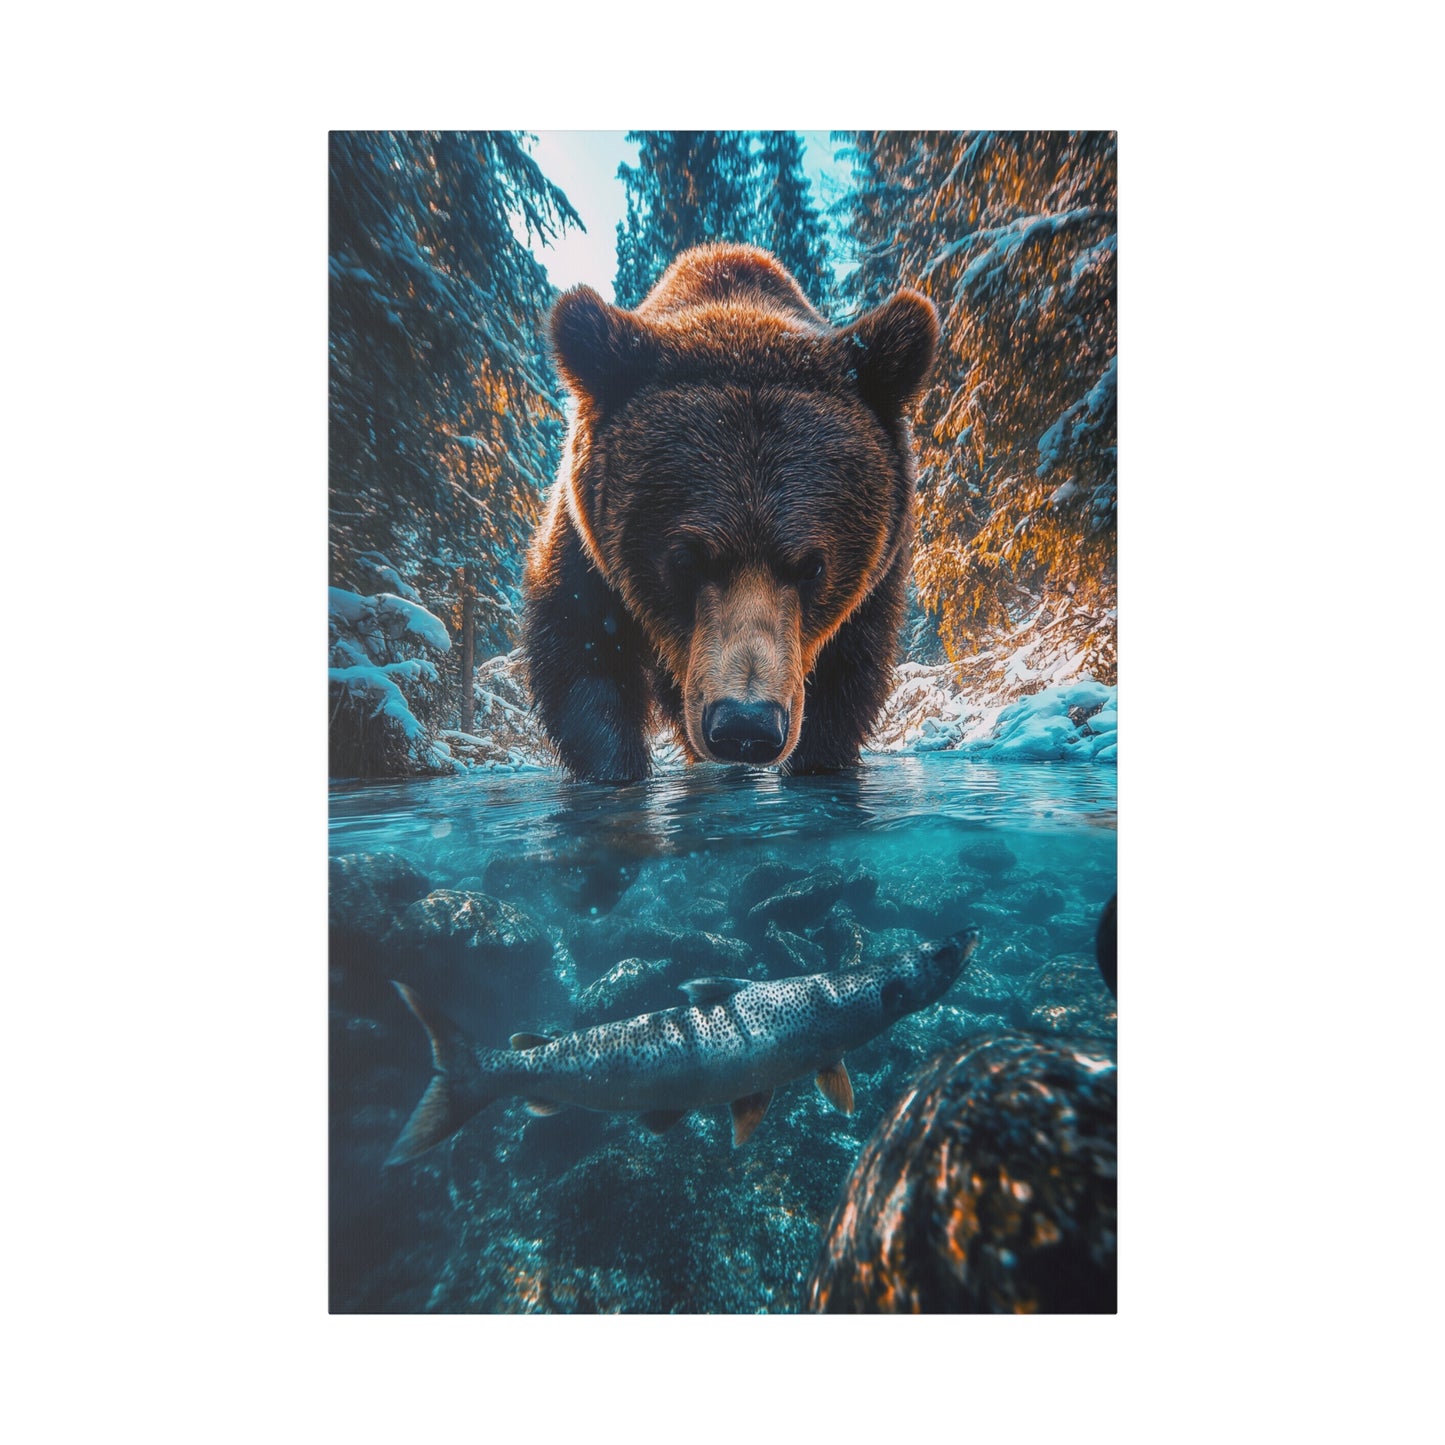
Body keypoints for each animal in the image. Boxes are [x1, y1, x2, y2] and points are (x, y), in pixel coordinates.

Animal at [521, 243, 938, 784]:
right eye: (684, 559)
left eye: (812, 567)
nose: (746, 724)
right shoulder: (589, 551)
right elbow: (582, 659)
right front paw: (616, 767)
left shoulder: (874, 586)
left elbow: (844, 683)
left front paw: (817, 760)